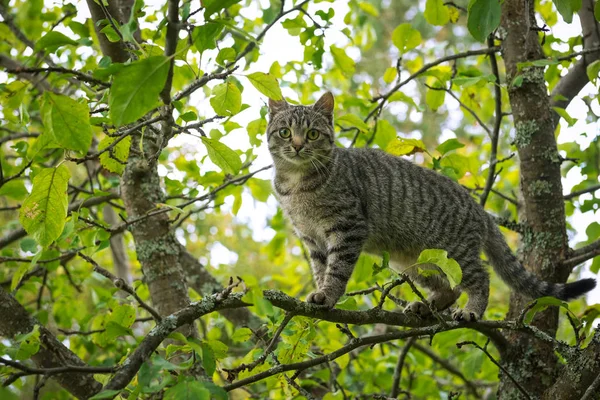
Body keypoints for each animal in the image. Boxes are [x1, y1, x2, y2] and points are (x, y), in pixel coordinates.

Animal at [266, 92, 596, 320]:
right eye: (285, 132)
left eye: (312, 133)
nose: (297, 145)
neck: (296, 184)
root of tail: (479, 209)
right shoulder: (311, 238)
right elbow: (321, 268)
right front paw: (320, 291)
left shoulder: (347, 227)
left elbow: (337, 269)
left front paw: (329, 295)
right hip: (415, 262)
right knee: (449, 287)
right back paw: (427, 306)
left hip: (456, 252)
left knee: (480, 278)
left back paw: (472, 310)